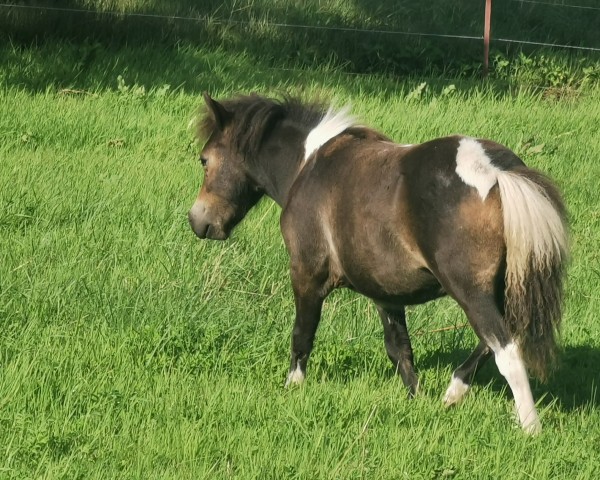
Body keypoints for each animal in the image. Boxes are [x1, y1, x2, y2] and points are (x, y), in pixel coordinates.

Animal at [188, 92, 568, 434]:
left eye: (204, 160)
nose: (198, 221)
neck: (307, 165)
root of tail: (496, 171)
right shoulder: (385, 293)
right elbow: (400, 350)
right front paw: (416, 401)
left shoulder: (306, 275)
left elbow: (302, 336)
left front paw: (292, 388)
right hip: (501, 290)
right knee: (495, 342)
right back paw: (454, 393)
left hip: (471, 293)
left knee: (508, 352)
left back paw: (529, 427)